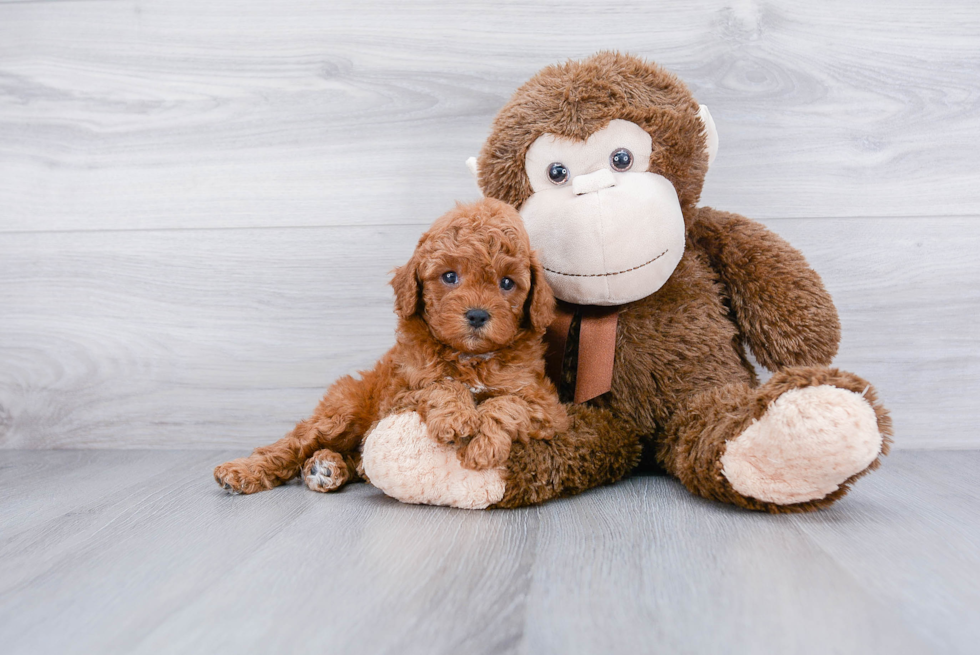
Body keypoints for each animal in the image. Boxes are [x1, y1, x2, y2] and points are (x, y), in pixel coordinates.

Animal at [214, 197, 568, 494]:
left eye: (507, 283)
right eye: (449, 276)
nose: (478, 315)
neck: (470, 357)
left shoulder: (547, 407)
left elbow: (507, 403)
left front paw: (484, 445)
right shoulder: (399, 397)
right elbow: (442, 385)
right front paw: (456, 417)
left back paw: (327, 467)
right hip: (343, 411)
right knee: (292, 444)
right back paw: (243, 471)